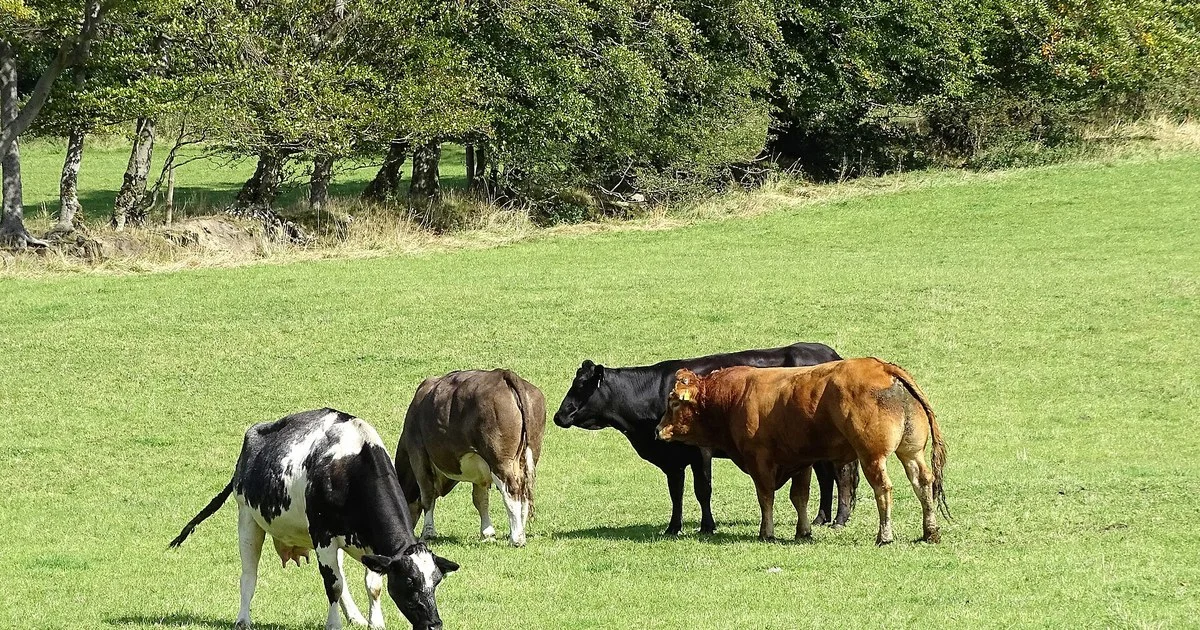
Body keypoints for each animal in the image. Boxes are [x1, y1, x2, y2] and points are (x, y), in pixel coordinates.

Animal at [169, 409, 459, 630]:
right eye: (410, 582)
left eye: (436, 581)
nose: (434, 624)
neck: (350, 465)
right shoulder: (323, 535)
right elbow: (333, 585)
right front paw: (334, 625)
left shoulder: (371, 545)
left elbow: (372, 585)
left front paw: (375, 623)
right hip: (247, 518)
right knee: (249, 575)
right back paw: (243, 620)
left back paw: (355, 617)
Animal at [396, 369, 545, 547]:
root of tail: (503, 374)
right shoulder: (480, 475)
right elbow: (480, 500)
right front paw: (487, 534)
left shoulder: (418, 453)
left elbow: (427, 495)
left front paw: (428, 533)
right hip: (529, 454)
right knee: (525, 491)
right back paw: (520, 532)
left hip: (500, 460)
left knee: (512, 491)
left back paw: (516, 538)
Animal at [553, 342, 856, 536]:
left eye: (582, 385)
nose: (559, 415)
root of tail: (830, 353)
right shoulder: (672, 458)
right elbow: (676, 492)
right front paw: (673, 527)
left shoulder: (701, 451)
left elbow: (703, 489)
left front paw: (707, 526)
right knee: (825, 475)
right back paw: (821, 518)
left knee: (841, 475)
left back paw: (838, 520)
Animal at [655, 359, 949, 545]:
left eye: (673, 402)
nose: (658, 430)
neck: (734, 397)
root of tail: (881, 366)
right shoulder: (801, 461)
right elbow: (800, 497)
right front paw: (803, 531)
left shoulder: (759, 460)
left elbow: (766, 497)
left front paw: (766, 532)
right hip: (911, 452)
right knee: (923, 482)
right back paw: (930, 532)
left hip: (872, 457)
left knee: (883, 489)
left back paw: (884, 536)